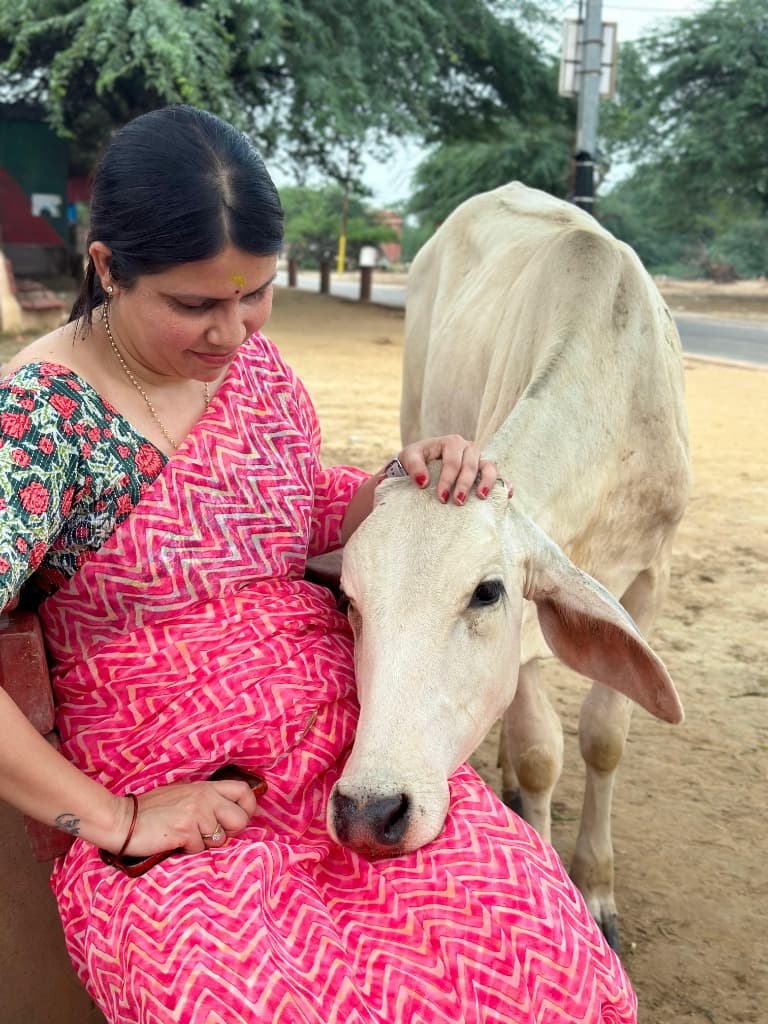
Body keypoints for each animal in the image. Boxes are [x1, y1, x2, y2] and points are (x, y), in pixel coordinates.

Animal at [327, 182, 691, 952]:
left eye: (487, 592)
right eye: (350, 601)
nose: (369, 811)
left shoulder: (652, 575)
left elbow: (604, 736)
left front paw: (596, 887)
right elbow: (539, 753)